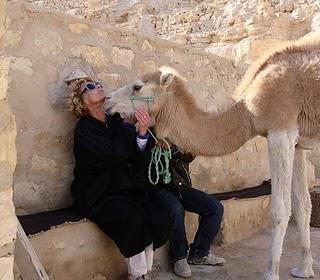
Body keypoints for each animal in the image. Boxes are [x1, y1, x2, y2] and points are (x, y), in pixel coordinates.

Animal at [105, 35, 320, 280]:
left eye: (137, 87)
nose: (107, 100)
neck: (245, 111)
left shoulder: (280, 130)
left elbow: (280, 210)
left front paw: (271, 274)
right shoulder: (298, 142)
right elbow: (302, 206)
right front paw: (304, 270)